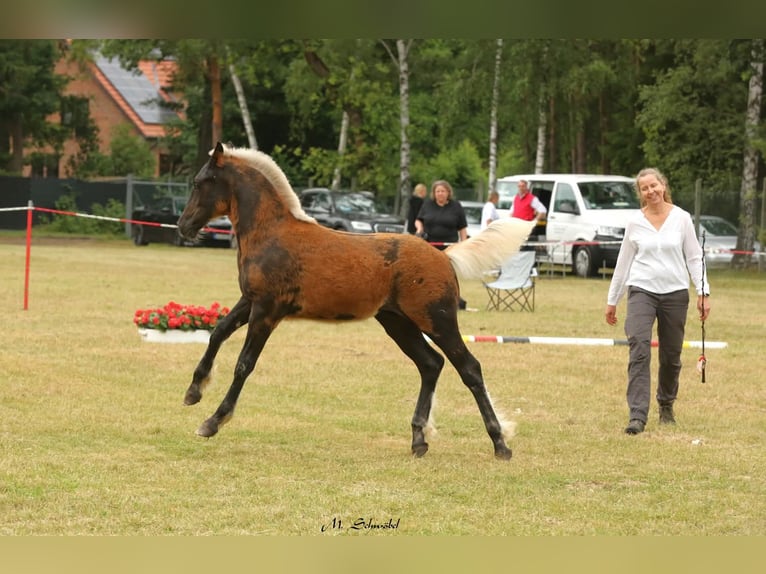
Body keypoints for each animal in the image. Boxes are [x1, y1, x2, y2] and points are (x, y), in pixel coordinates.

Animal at [177, 142, 534, 459]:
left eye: (199, 183)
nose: (183, 226)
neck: (271, 233)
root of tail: (444, 257)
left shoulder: (267, 309)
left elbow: (244, 363)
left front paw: (213, 421)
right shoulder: (250, 301)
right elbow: (217, 332)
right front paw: (194, 391)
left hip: (437, 320)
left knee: (469, 368)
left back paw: (500, 443)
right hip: (398, 322)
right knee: (431, 364)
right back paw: (419, 440)